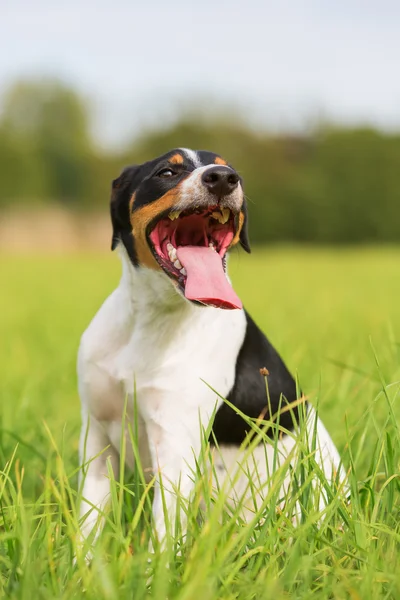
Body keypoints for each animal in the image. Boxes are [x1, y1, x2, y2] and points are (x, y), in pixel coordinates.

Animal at [76, 148, 346, 552]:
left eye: (232, 171)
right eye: (166, 171)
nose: (222, 179)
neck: (151, 320)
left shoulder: (175, 446)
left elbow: (161, 541)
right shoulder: (97, 436)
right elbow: (86, 531)